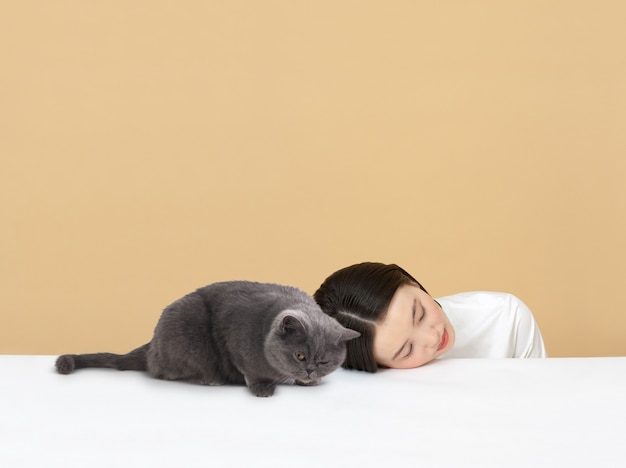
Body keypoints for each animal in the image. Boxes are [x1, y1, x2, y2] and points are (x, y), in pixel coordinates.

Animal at [56, 280, 358, 396]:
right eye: (299, 355)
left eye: (324, 361)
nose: (309, 371)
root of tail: (152, 345)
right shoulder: (237, 340)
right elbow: (251, 370)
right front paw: (262, 387)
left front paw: (311, 382)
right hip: (188, 332)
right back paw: (211, 379)